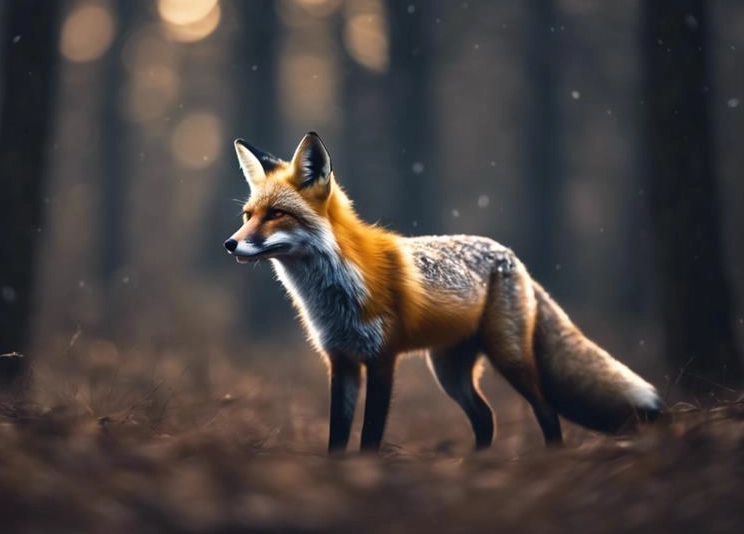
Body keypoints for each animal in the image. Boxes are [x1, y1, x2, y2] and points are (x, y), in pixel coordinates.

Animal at [224, 132, 663, 453]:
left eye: (277, 214)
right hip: (449, 371)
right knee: (485, 417)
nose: (230, 243)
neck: (334, 292)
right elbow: (337, 437)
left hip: (509, 357)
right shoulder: (341, 361)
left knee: (546, 412)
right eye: (248, 215)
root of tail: (512, 256)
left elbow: (370, 436)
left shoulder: (382, 359)